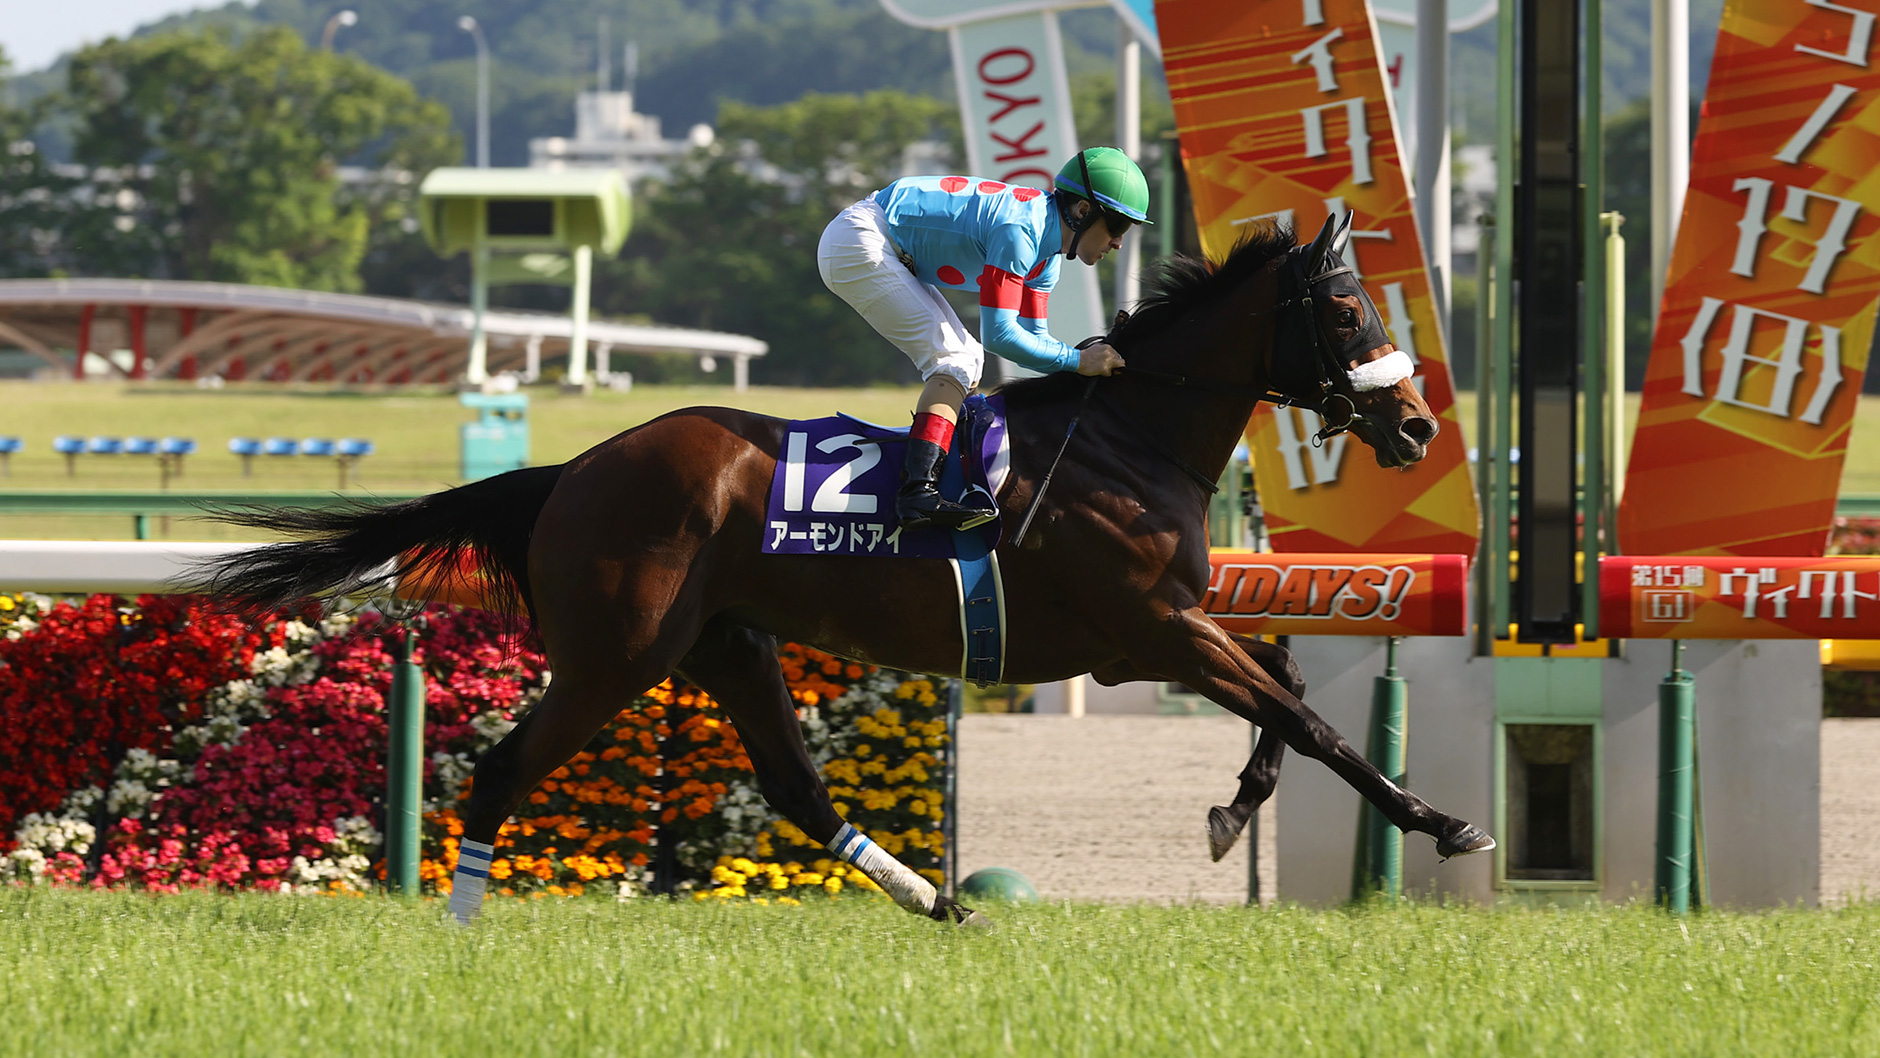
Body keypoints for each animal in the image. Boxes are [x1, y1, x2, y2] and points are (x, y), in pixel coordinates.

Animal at [195, 213, 1495, 926]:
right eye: (1344, 309)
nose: (1415, 428)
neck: (1130, 432)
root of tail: (574, 467)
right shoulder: (1151, 625)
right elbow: (1308, 718)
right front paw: (1441, 822)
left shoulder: (1160, 626)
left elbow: (1287, 686)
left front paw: (1231, 809)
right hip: (618, 652)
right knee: (507, 765)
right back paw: (461, 918)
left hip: (726, 643)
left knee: (796, 787)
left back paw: (941, 900)